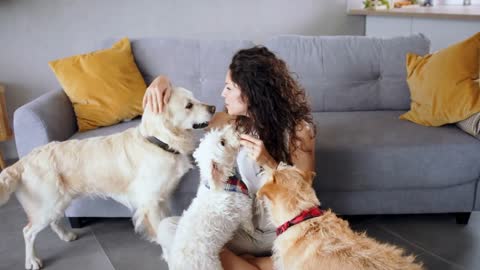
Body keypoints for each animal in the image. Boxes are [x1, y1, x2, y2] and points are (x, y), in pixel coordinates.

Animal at [0, 87, 214, 270]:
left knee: (53, 222)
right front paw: (170, 257)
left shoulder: (164, 198)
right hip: (47, 205)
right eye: (189, 105)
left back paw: (67, 235)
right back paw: (32, 261)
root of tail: (24, 160)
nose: (213, 107)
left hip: (57, 202)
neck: (158, 142)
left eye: (194, 98)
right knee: (27, 232)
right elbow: (161, 232)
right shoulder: (150, 203)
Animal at [161, 125, 255, 270]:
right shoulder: (244, 208)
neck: (224, 183)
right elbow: (248, 223)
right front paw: (253, 231)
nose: (233, 126)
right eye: (222, 142)